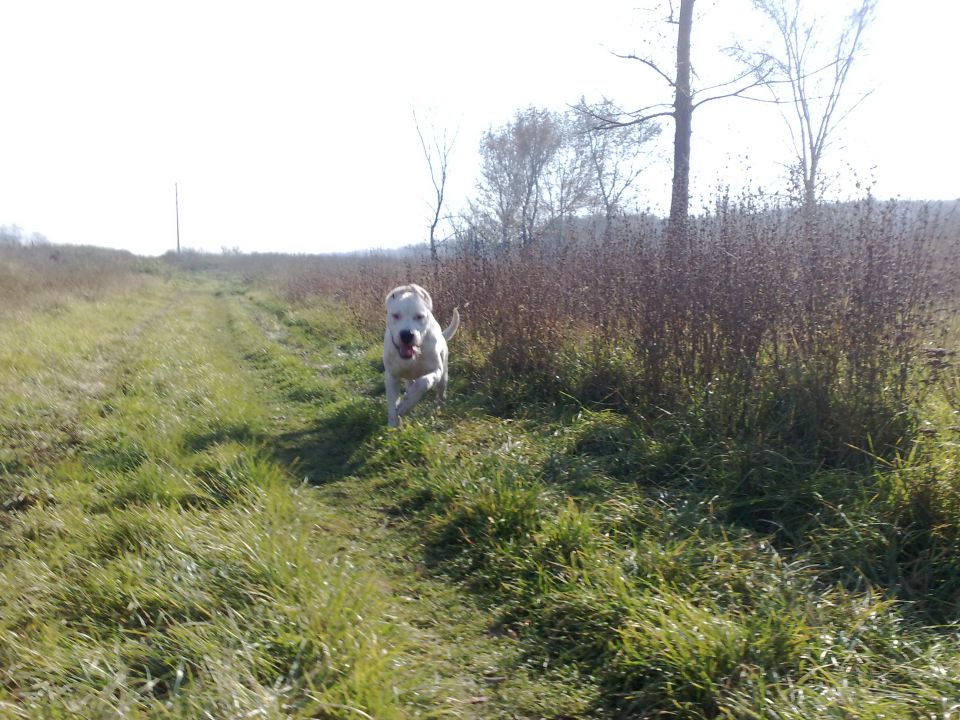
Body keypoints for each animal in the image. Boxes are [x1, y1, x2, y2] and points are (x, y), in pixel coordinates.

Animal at [380, 282, 460, 428]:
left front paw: (405, 406)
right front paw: (394, 424)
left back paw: (439, 407)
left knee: (440, 392)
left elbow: (423, 382)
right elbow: (392, 401)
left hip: (443, 377)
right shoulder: (391, 376)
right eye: (396, 315)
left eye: (419, 316)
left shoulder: (436, 370)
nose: (407, 334)